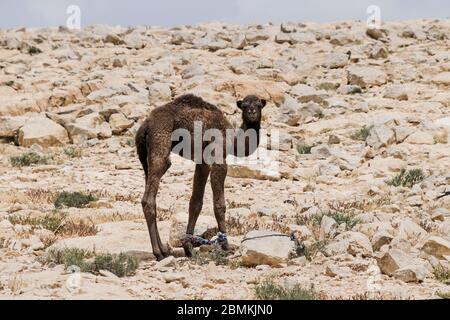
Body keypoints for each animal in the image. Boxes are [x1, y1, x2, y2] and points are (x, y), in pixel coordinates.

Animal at [135, 94, 266, 262]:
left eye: (259, 105)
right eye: (244, 106)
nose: (252, 113)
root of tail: (145, 126)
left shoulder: (202, 162)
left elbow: (195, 203)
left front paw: (188, 247)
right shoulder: (219, 157)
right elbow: (219, 204)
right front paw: (226, 246)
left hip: (144, 157)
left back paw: (164, 250)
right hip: (160, 143)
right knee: (149, 197)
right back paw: (158, 253)